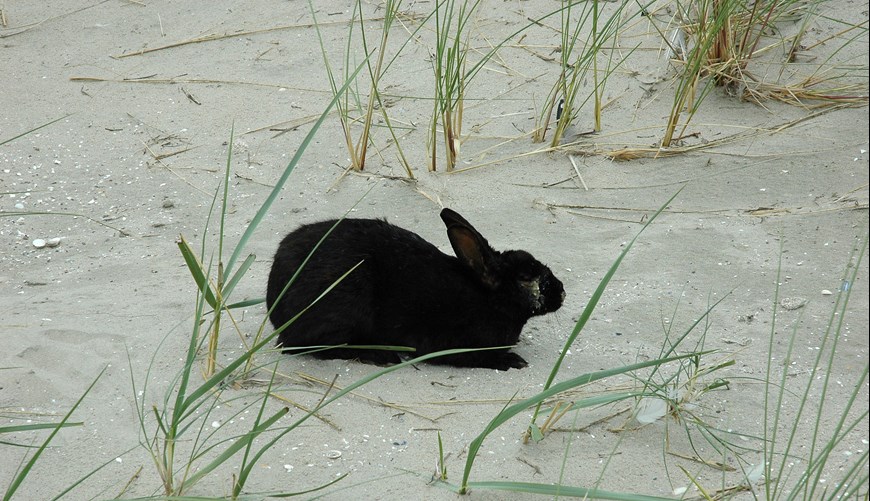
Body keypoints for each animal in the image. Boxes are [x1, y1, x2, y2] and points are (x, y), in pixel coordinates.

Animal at [266, 209, 564, 370]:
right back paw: (381, 355)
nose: (561, 292)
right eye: (525, 276)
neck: (487, 299)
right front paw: (511, 360)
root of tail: (276, 307)